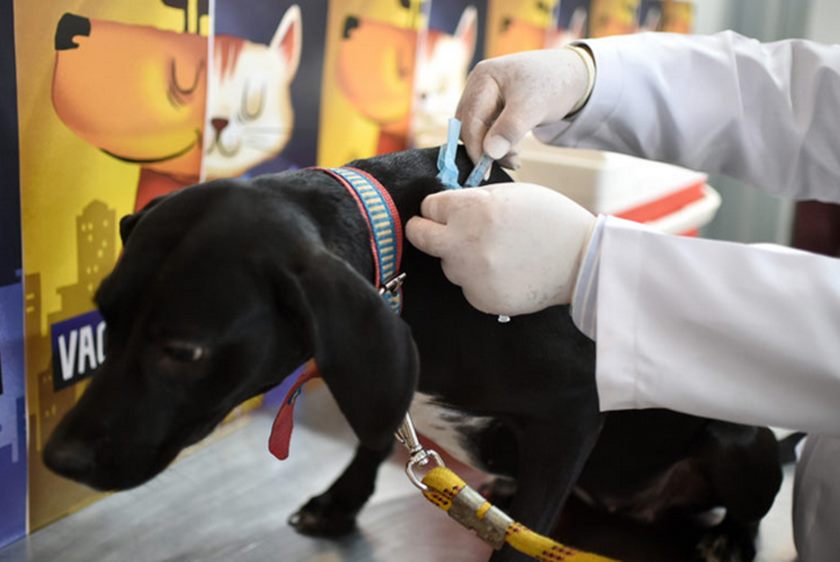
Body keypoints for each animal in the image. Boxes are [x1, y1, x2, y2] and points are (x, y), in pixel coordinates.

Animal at [44, 148, 780, 560]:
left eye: (184, 350)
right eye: (105, 318)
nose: (59, 459)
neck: (410, 268)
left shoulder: (574, 410)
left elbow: (523, 544)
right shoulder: (384, 365)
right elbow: (377, 431)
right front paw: (341, 500)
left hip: (739, 442)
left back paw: (730, 538)